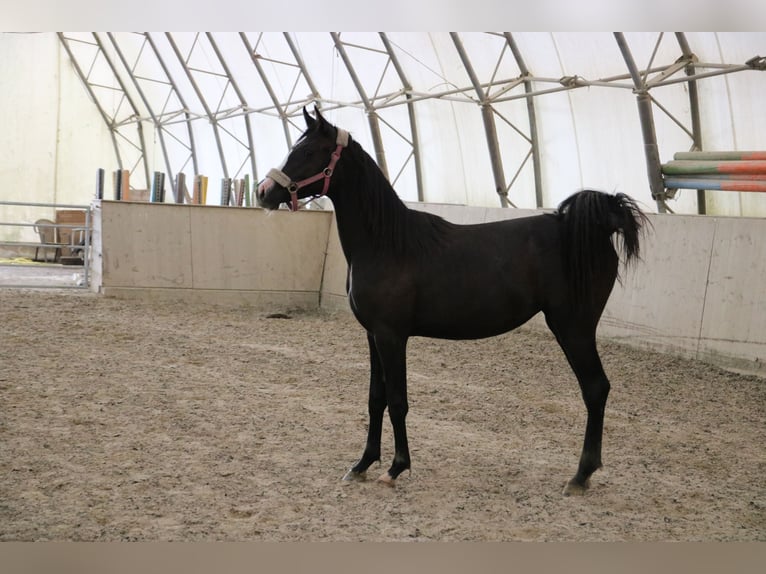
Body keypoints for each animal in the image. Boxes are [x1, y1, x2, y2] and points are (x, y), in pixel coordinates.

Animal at [258, 107, 648, 496]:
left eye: (310, 152)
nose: (264, 192)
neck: (387, 243)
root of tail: (592, 228)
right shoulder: (372, 336)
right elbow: (375, 399)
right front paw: (363, 464)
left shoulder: (391, 336)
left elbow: (397, 401)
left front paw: (396, 468)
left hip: (573, 327)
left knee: (595, 388)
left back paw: (580, 476)